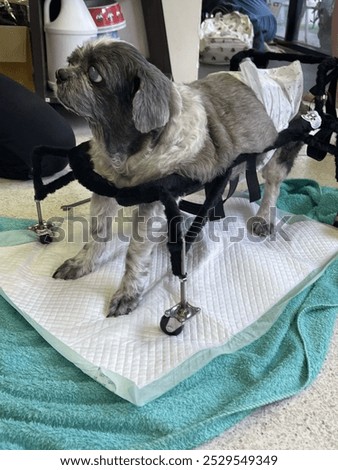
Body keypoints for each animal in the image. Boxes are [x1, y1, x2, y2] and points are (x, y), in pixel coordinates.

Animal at [54, 38, 302, 318]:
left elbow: (135, 251)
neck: (125, 151)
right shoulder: (104, 188)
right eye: (71, 60)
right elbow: (97, 235)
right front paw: (81, 263)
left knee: (272, 183)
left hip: (278, 150)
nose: (59, 74)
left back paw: (263, 217)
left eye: (94, 74)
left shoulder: (152, 200)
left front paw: (128, 293)